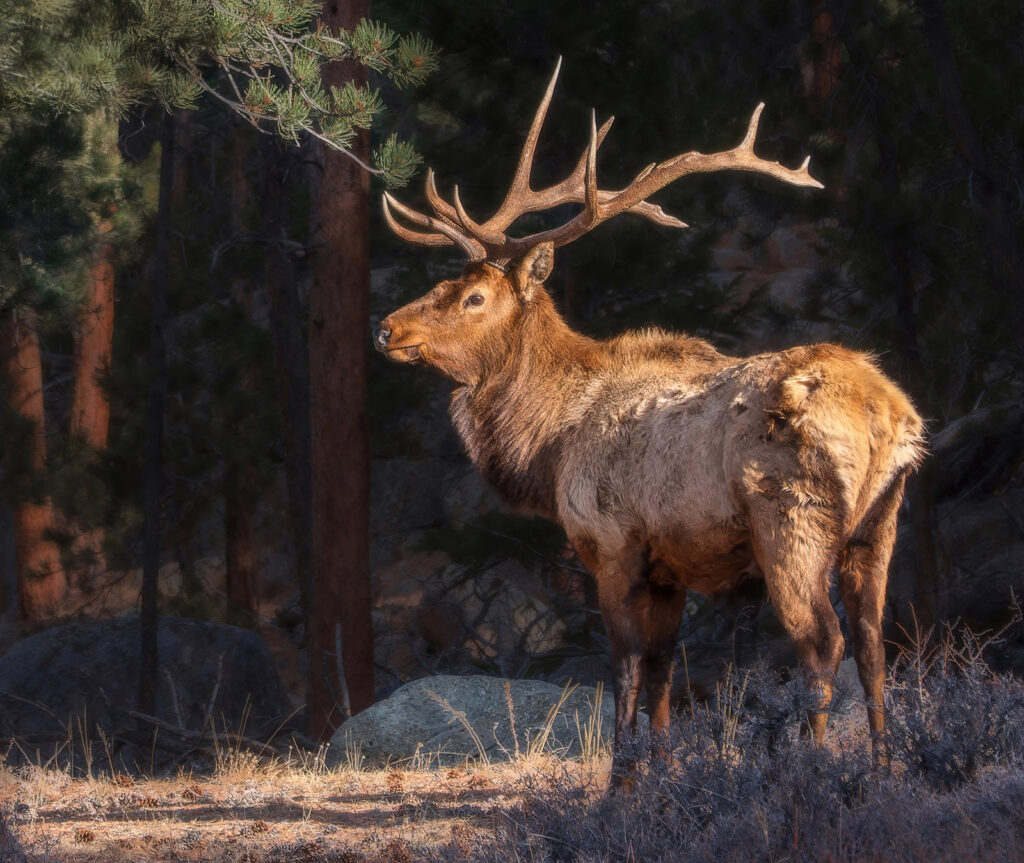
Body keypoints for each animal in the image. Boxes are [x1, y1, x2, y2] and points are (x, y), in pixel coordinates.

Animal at [374, 60, 924, 783]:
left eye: (474, 297)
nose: (386, 329)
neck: (549, 447)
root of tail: (889, 416)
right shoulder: (670, 565)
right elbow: (664, 673)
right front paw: (659, 775)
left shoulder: (611, 544)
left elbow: (624, 670)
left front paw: (619, 783)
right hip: (879, 523)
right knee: (874, 644)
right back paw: (886, 772)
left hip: (791, 518)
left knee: (821, 642)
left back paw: (814, 767)